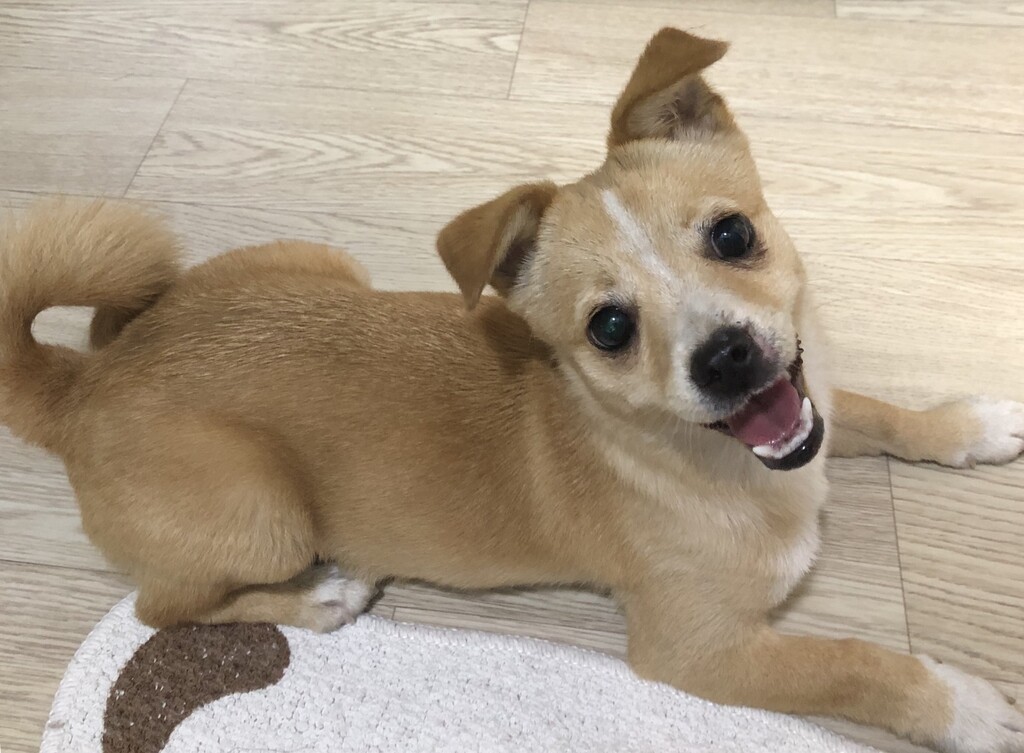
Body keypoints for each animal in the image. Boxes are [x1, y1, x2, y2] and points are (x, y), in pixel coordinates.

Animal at [2, 28, 1023, 753]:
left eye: (733, 235)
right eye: (608, 328)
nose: (728, 357)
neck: (715, 463)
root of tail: (83, 383)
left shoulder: (811, 395)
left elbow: (876, 407)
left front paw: (966, 423)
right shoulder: (701, 650)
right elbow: (851, 663)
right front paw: (963, 705)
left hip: (322, 265)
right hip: (264, 513)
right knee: (162, 608)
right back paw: (319, 600)